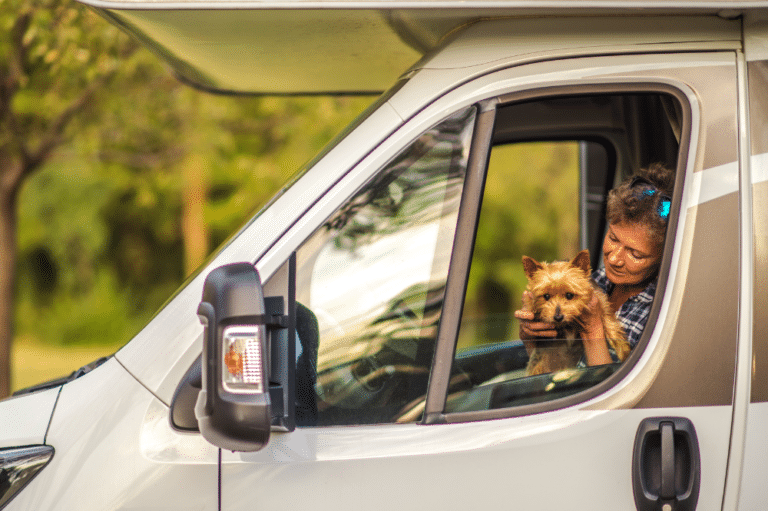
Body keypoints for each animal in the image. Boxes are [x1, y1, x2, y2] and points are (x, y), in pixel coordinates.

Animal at [520, 250, 632, 378]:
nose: (558, 317)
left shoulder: (600, 300)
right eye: (546, 296)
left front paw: (624, 351)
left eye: (569, 295)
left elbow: (610, 323)